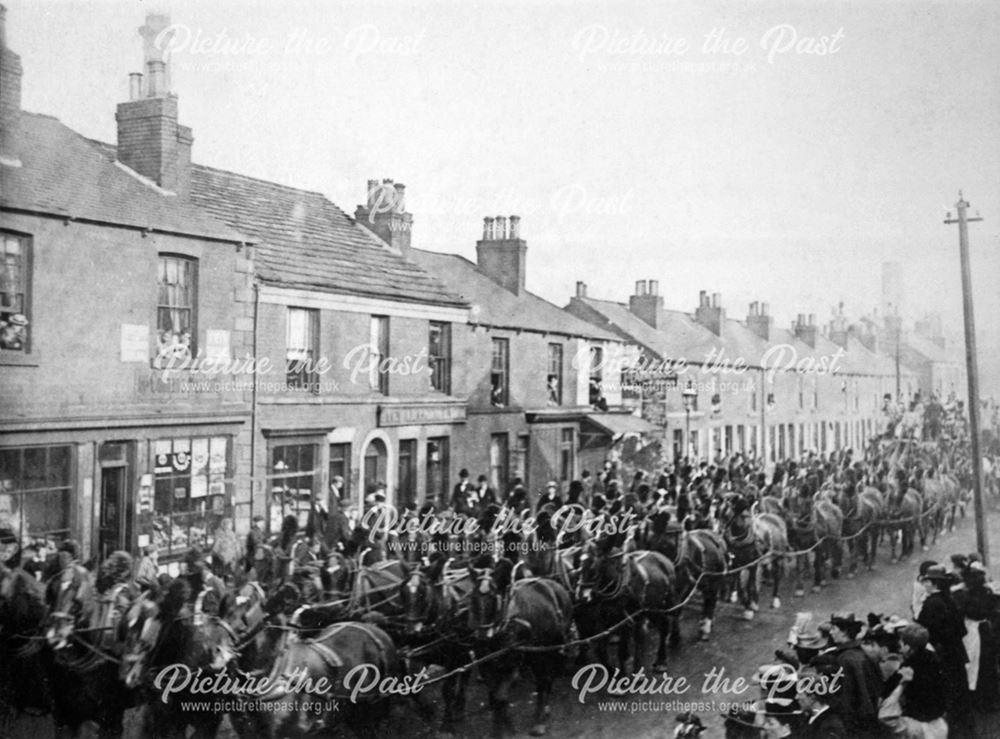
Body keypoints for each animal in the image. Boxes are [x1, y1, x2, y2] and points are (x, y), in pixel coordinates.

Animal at [466, 568, 572, 736]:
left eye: (494, 598)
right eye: (472, 598)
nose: (482, 636)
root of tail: (554, 584)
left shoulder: (513, 667)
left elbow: (500, 697)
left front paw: (501, 730)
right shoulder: (487, 668)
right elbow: (495, 697)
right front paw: (505, 726)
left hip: (549, 649)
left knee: (545, 680)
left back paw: (540, 718)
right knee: (542, 680)